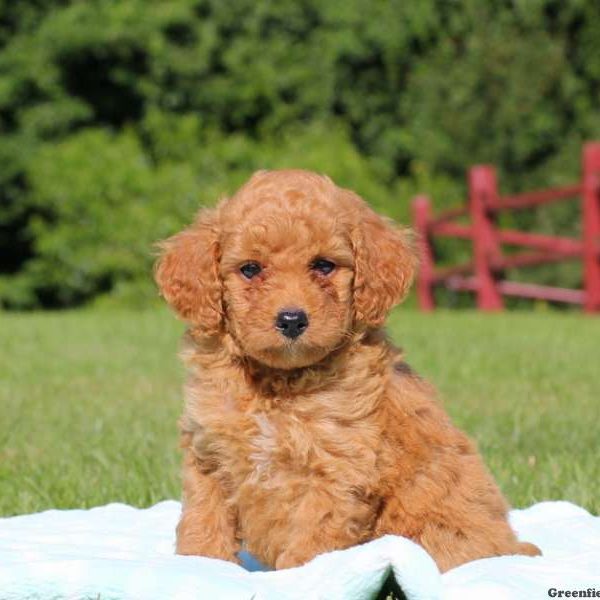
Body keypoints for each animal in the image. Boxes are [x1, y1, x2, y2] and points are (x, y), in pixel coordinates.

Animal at [155, 169, 540, 572]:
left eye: (324, 265)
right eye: (250, 269)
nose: (291, 320)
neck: (279, 383)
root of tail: (511, 545)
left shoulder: (335, 471)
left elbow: (310, 543)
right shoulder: (208, 455)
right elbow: (203, 520)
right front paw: (198, 566)